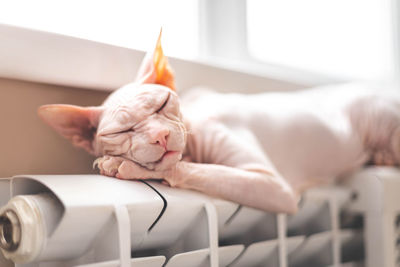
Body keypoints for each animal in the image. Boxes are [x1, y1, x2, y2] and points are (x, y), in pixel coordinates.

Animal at [37, 33, 400, 215]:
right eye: (121, 130)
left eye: (162, 103)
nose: (161, 136)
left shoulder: (273, 186)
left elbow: (186, 168)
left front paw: (120, 166)